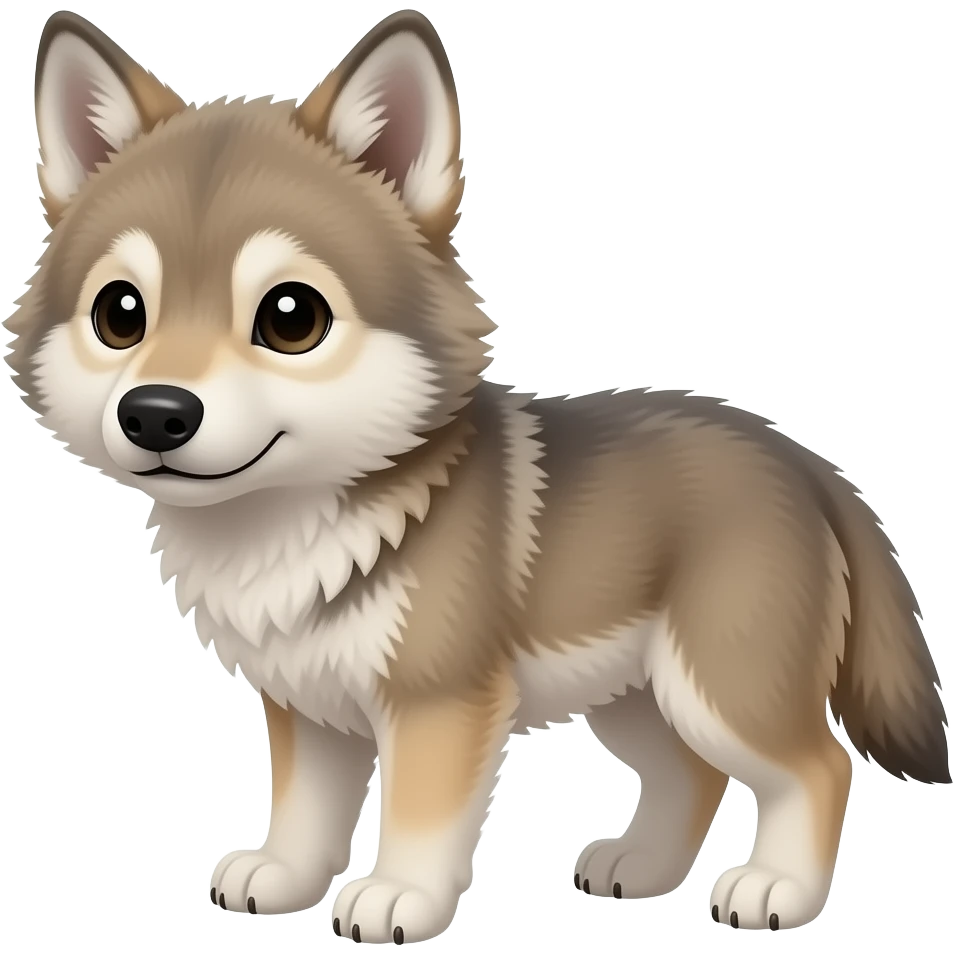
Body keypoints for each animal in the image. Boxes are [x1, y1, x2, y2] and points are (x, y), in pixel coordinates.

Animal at [7, 7, 949, 940]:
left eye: (291, 318)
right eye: (120, 314)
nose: (156, 414)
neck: (286, 525)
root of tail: (804, 460)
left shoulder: (440, 704)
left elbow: (420, 819)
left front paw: (398, 897)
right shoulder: (310, 706)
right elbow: (305, 812)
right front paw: (283, 877)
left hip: (719, 685)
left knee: (820, 766)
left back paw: (776, 888)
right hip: (635, 697)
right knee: (695, 774)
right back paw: (643, 866)